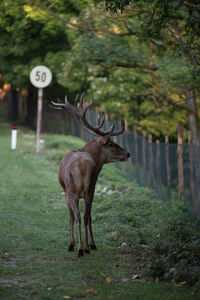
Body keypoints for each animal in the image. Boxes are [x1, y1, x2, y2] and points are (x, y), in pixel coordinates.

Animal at [50, 94, 130, 258]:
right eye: (111, 144)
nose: (127, 153)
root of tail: (82, 166)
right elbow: (89, 216)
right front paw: (92, 244)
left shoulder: (65, 191)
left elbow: (71, 217)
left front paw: (72, 244)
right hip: (90, 188)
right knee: (87, 216)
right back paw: (87, 246)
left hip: (73, 190)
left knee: (78, 216)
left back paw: (80, 248)